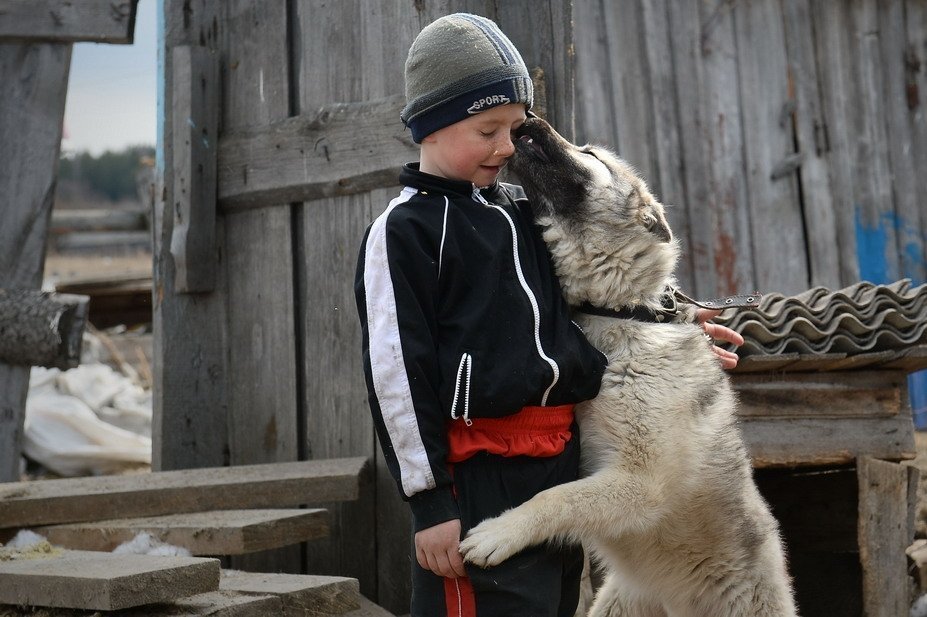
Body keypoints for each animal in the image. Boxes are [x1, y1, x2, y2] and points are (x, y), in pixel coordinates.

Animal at [458, 118, 796, 616]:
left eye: (590, 154)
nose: (527, 119)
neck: (625, 313)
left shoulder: (639, 483)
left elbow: (557, 497)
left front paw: (503, 530)